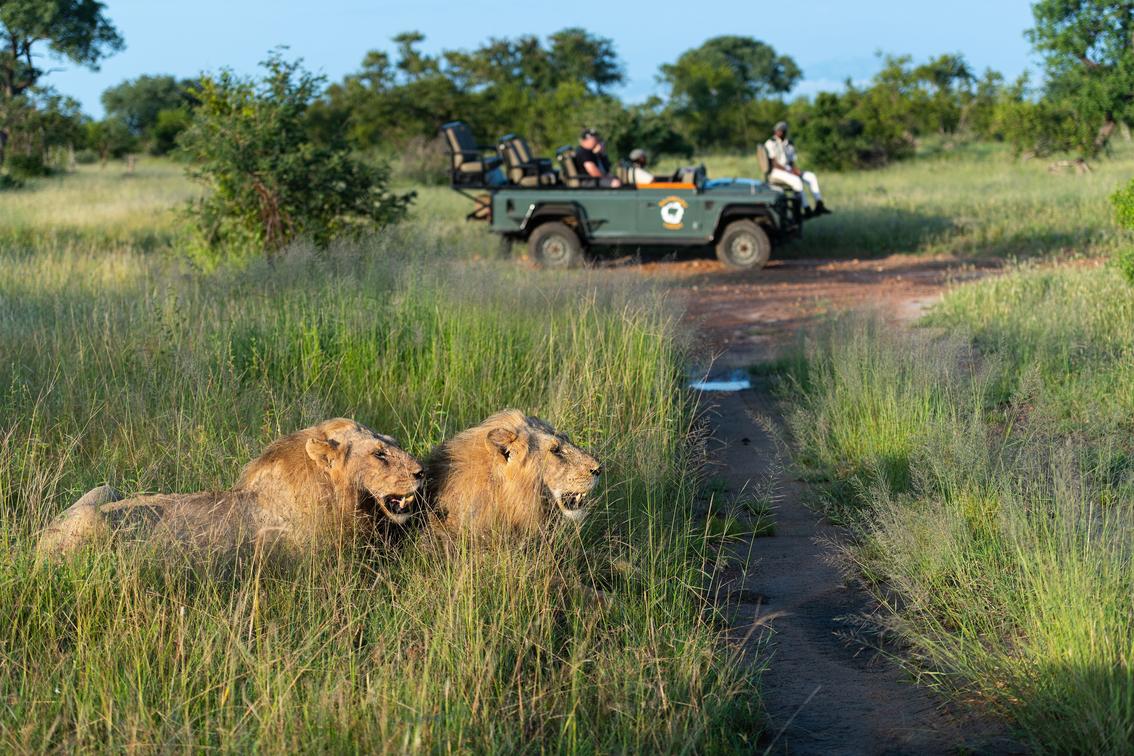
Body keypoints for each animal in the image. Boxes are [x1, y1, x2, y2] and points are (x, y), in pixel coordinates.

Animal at [37, 419, 426, 562]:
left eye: (393, 442)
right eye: (379, 454)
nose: (421, 472)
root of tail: (40, 541)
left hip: (104, 489)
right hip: (93, 521)